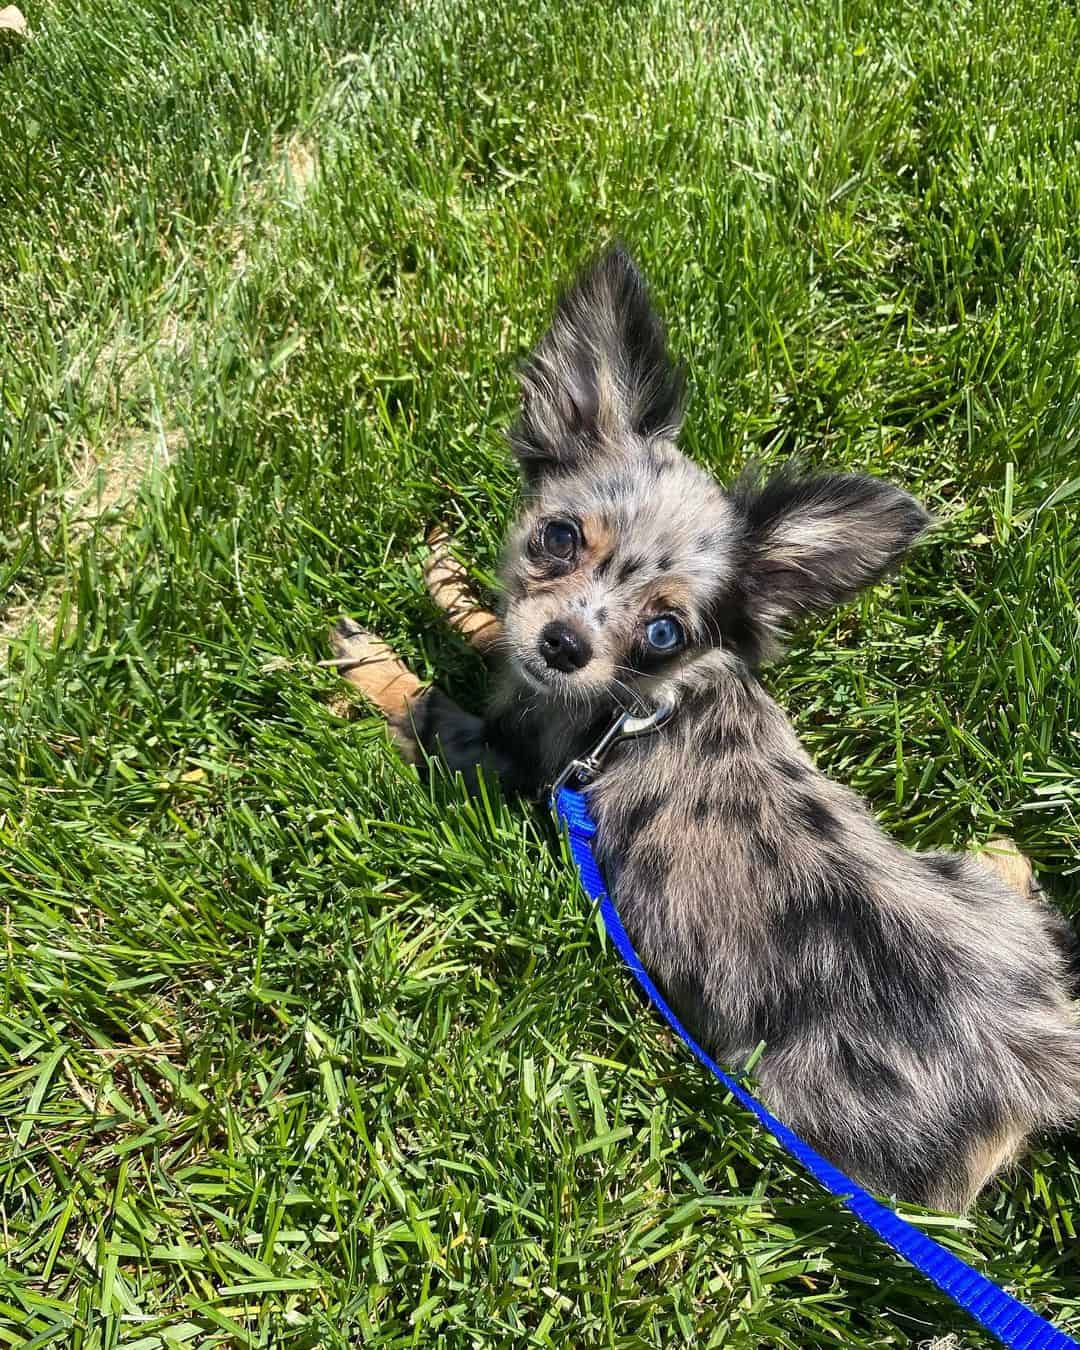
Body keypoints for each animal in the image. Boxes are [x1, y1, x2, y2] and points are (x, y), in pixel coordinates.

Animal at [330, 248, 1080, 1209]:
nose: (566, 646)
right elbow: (493, 627)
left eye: (663, 632)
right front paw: (453, 581)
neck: (641, 700)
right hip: (968, 883)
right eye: (558, 538)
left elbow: (423, 701)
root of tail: (1042, 1053)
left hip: (807, 1111)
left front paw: (371, 663)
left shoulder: (501, 757)